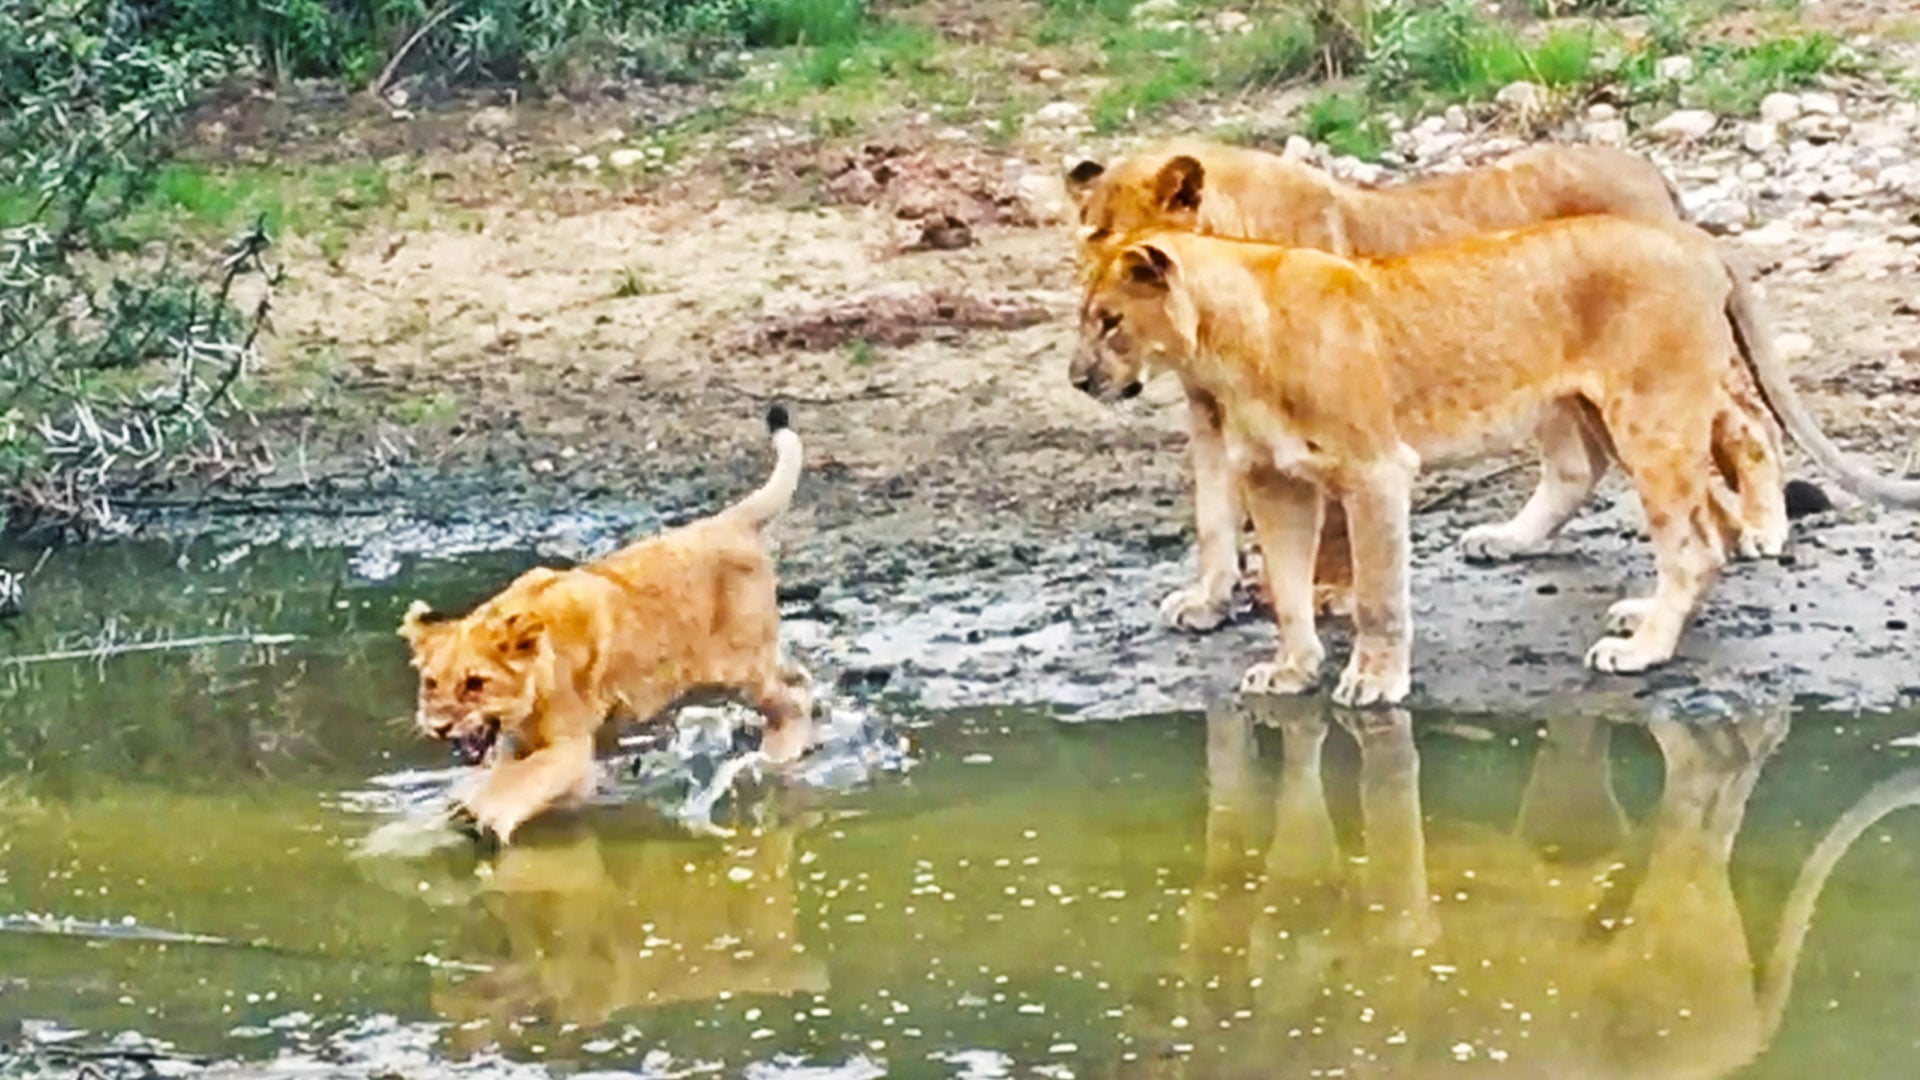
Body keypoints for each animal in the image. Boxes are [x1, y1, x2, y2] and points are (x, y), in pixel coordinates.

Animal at [398, 405, 815, 843]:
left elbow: (518, 784)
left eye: (475, 683)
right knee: (800, 677)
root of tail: (730, 521)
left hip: (742, 668)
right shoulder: (521, 744)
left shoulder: (569, 747)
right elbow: (513, 777)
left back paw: (781, 752)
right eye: (431, 683)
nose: (439, 727)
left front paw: (480, 817)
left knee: (791, 698)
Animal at [1065, 140, 1796, 633]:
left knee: (1743, 423)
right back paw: (1511, 539)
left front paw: (1329, 592)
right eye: (1090, 234)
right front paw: (1207, 601)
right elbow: (1213, 517)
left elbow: (1335, 520)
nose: (1097, 283)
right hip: (1561, 390)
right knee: (1579, 466)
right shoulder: (1213, 418)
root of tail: (1649, 170)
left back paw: (1761, 526)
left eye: (1122, 238)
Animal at [1072, 220, 1920, 704]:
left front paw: (1373, 681)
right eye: (1086, 320)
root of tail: (1699, 241)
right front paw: (1292, 670)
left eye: (1110, 321)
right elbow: (1285, 590)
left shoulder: (1376, 472)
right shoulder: (1275, 481)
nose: (1078, 380)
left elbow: (1377, 596)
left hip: (1650, 414)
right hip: (1612, 415)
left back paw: (1642, 650)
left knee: (1695, 540)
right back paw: (1645, 617)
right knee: (1696, 520)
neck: (1222, 349)